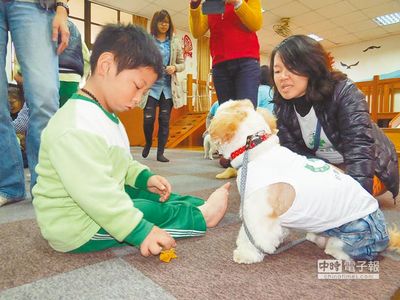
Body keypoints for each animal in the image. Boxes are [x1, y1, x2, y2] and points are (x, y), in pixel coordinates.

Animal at [208, 100, 398, 264]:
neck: (256, 150)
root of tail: (386, 236)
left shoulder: (258, 211)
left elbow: (251, 236)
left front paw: (246, 254)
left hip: (351, 238)